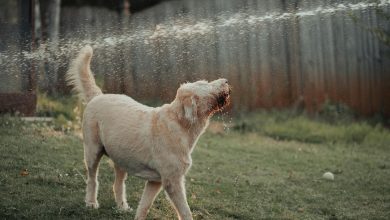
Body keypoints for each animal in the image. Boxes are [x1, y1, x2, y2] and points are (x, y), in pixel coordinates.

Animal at [66, 45, 232, 219]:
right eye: (205, 83)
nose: (226, 81)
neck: (179, 123)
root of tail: (98, 96)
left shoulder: (155, 181)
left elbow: (144, 205)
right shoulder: (172, 181)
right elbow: (185, 211)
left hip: (120, 157)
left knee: (117, 184)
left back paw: (122, 206)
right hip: (92, 152)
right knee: (92, 179)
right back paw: (91, 203)